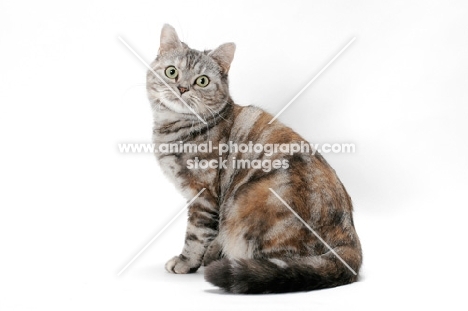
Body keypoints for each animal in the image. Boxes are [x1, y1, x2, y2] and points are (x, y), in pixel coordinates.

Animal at [146, 24, 362, 294]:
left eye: (202, 81)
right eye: (171, 71)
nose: (182, 88)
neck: (176, 127)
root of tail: (349, 239)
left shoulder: (204, 196)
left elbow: (196, 235)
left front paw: (186, 262)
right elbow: (212, 235)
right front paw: (209, 254)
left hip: (252, 201)